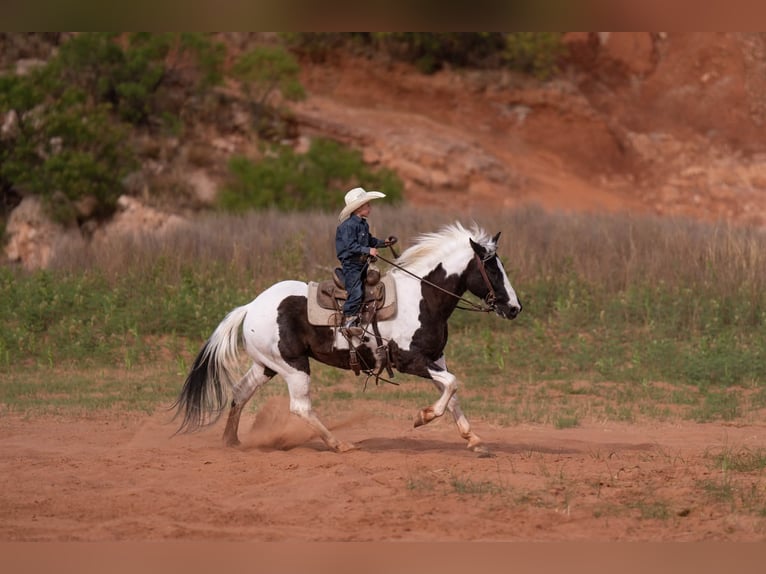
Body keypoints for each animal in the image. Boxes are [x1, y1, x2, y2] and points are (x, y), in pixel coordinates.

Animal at [173, 222, 522, 454]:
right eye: (492, 269)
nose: (514, 308)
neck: (422, 297)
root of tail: (251, 306)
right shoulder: (412, 361)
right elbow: (452, 385)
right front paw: (422, 417)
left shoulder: (436, 359)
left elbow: (452, 393)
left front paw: (473, 440)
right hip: (293, 367)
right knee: (299, 407)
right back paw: (338, 443)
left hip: (266, 365)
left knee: (241, 392)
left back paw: (232, 441)